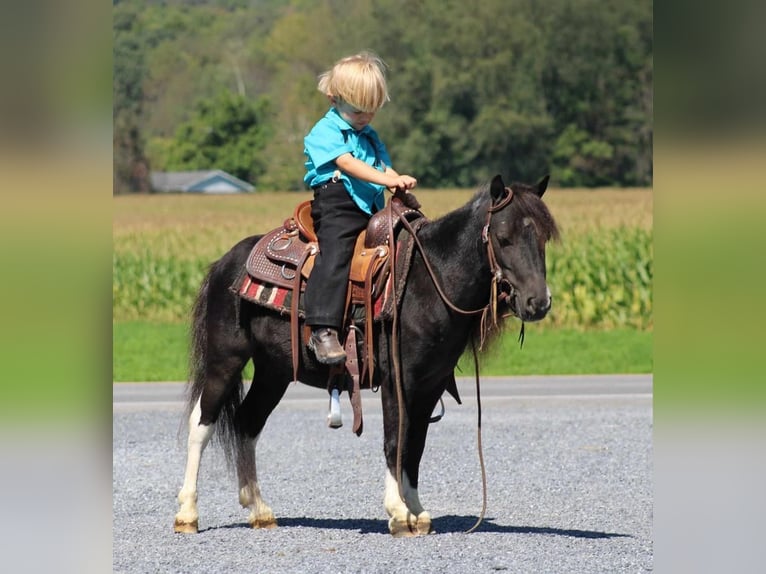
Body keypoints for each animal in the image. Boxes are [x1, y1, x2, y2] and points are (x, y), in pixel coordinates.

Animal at [176, 176, 560, 540]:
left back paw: (259, 510)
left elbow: (414, 446)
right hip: (226, 359)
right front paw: (398, 514)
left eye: (543, 238)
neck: (428, 281)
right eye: (503, 237)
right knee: (202, 423)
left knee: (247, 423)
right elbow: (394, 440)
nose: (538, 303)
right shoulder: (397, 379)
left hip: (274, 371)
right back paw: (187, 514)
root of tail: (226, 262)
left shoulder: (430, 385)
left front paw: (417, 512)